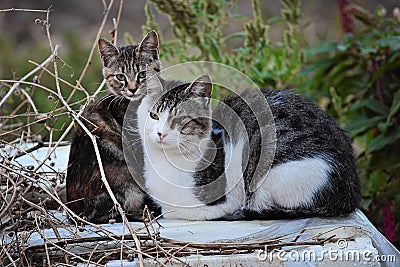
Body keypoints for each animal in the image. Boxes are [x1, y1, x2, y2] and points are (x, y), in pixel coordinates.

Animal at [134, 74, 360, 222]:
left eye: (181, 119)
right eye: (154, 115)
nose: (160, 133)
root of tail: (349, 192)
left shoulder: (218, 203)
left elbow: (180, 210)